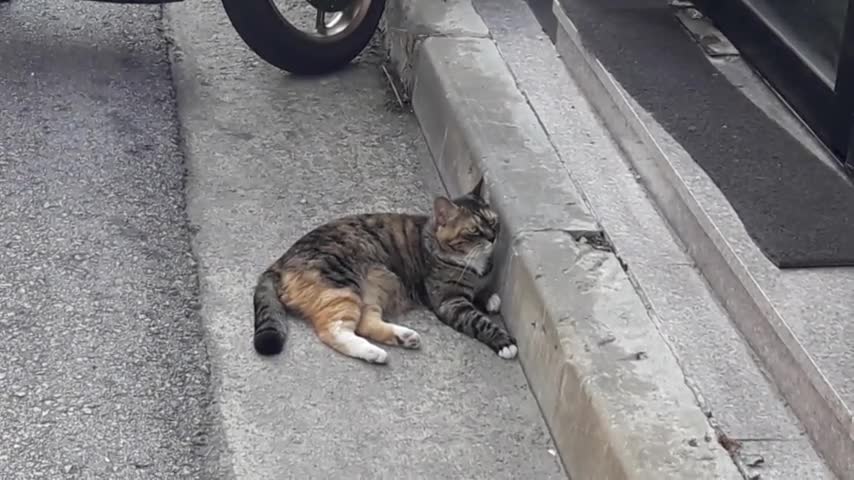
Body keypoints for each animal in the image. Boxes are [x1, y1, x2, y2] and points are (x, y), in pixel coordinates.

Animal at [251, 179, 520, 364]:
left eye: (493, 221)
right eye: (474, 230)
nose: (493, 237)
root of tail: (279, 261)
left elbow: (481, 291)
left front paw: (489, 297)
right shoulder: (450, 302)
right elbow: (478, 321)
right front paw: (504, 342)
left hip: (373, 289)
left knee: (365, 323)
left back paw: (404, 337)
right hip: (343, 288)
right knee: (334, 331)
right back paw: (373, 352)